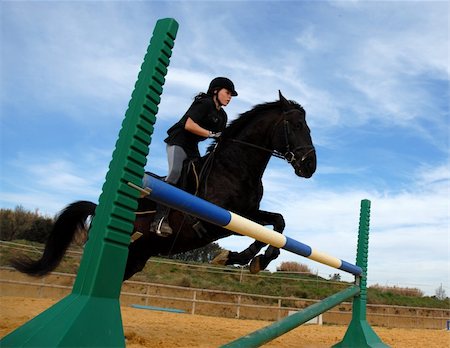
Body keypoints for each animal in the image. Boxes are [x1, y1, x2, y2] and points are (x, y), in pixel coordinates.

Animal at [10, 92, 316, 280]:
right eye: (297, 125)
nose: (310, 166)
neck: (235, 167)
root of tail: (99, 207)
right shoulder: (218, 222)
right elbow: (266, 233)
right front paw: (232, 257)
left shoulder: (248, 214)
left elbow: (277, 224)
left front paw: (255, 261)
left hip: (138, 257)